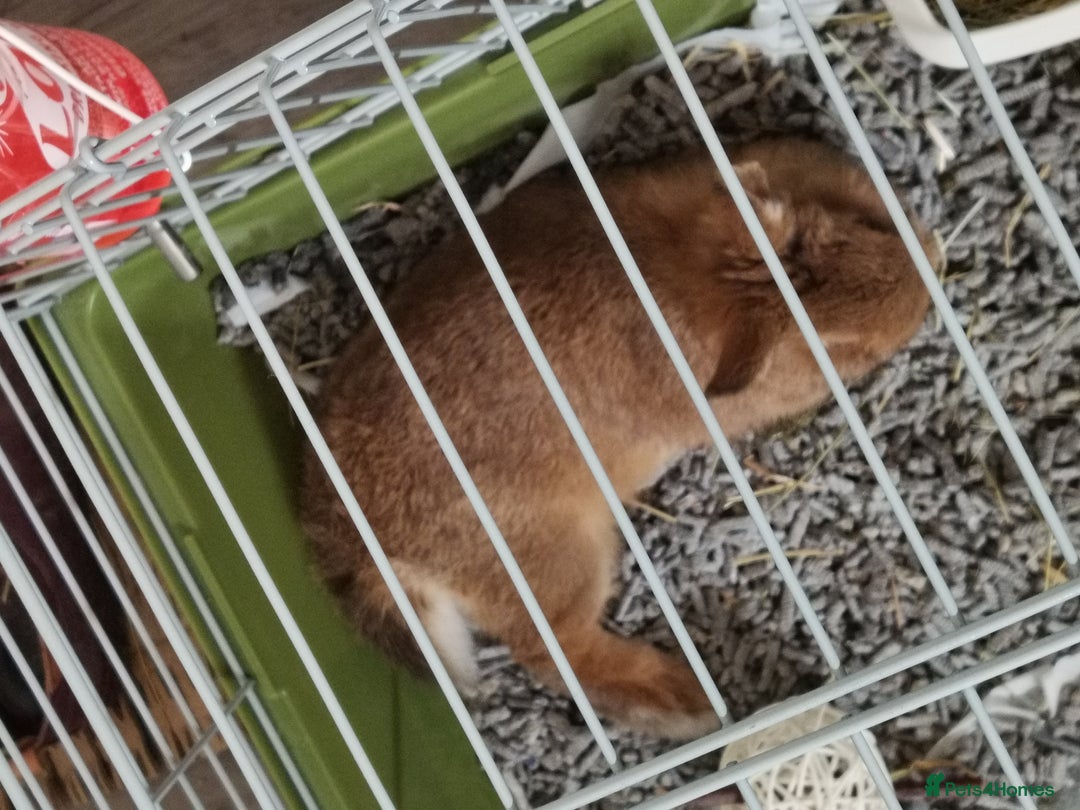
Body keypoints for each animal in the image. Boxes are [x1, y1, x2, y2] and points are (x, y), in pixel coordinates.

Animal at [302, 137, 937, 739]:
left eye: (860, 228)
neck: (712, 279)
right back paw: (685, 702)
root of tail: (361, 545)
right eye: (843, 348)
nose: (932, 256)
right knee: (555, 652)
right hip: (564, 559)